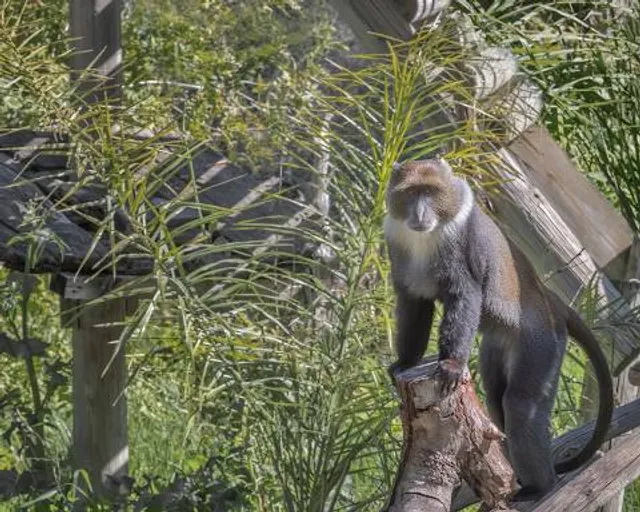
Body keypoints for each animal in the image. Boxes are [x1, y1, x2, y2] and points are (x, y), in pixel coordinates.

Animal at [384, 158, 613, 501]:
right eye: (412, 193)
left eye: (431, 192)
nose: (421, 214)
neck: (427, 237)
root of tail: (551, 301)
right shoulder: (400, 256)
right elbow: (415, 304)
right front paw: (405, 362)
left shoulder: (463, 250)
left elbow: (466, 295)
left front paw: (451, 364)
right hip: (498, 347)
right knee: (495, 399)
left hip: (542, 345)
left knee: (520, 404)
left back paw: (540, 485)